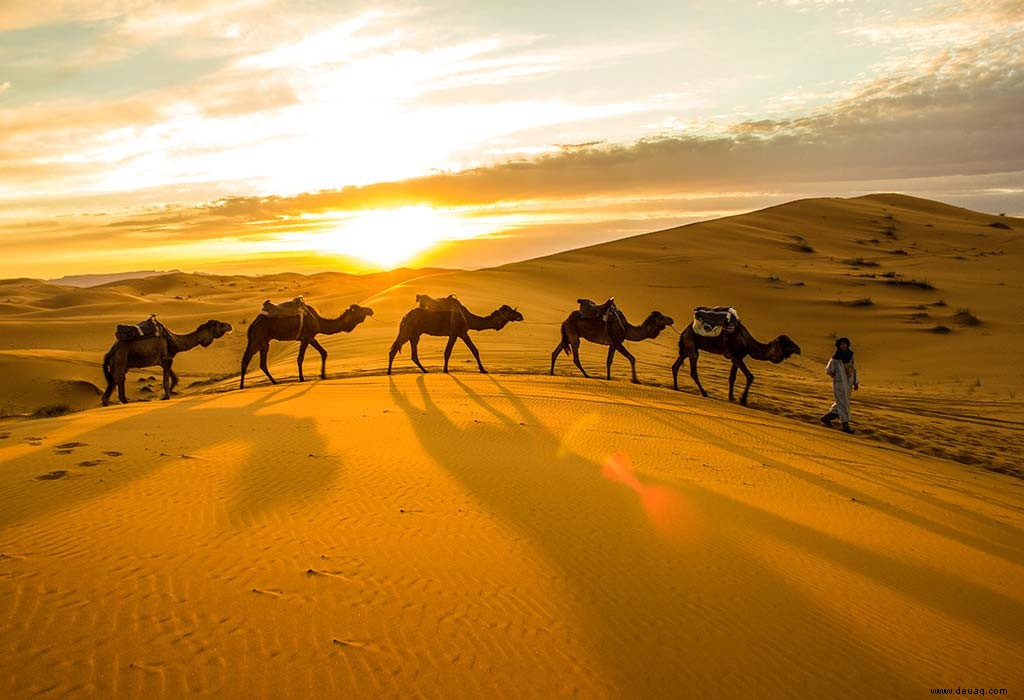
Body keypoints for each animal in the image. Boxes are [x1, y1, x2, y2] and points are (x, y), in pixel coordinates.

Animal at [101, 319, 232, 405]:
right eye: (219, 324)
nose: (229, 325)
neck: (175, 341)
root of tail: (110, 351)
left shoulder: (165, 361)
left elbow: (174, 378)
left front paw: (169, 394)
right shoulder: (167, 359)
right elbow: (166, 381)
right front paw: (167, 397)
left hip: (120, 365)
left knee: (116, 383)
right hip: (119, 360)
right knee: (116, 383)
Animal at [238, 300, 372, 388]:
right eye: (359, 309)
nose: (371, 310)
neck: (319, 321)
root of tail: (253, 323)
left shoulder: (311, 337)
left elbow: (324, 352)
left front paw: (323, 375)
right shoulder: (306, 337)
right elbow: (300, 358)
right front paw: (302, 378)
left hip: (264, 342)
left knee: (262, 363)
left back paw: (274, 382)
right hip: (257, 339)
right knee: (246, 359)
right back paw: (242, 386)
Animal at [387, 294, 524, 372]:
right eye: (510, 311)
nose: (521, 316)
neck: (468, 318)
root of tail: (405, 316)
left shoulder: (460, 333)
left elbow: (474, 350)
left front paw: (482, 369)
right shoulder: (458, 332)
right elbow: (449, 352)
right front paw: (446, 370)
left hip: (415, 334)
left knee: (413, 354)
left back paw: (425, 371)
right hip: (408, 331)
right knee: (394, 349)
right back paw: (389, 372)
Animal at [667, 319, 802, 405]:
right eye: (787, 343)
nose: (799, 349)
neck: (748, 343)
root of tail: (684, 331)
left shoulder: (734, 358)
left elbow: (732, 378)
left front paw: (731, 398)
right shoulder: (737, 357)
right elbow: (750, 376)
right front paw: (743, 400)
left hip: (686, 349)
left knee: (675, 366)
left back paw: (676, 387)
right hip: (691, 345)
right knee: (693, 371)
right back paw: (704, 393)